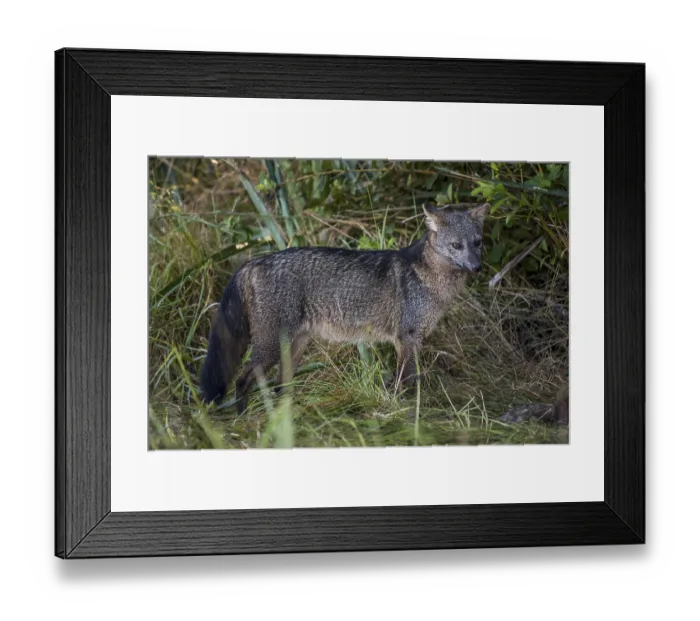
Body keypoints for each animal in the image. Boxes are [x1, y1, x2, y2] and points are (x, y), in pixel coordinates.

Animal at [200, 202, 490, 413]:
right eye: (456, 245)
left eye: (477, 242)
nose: (477, 267)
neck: (429, 277)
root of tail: (253, 262)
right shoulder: (406, 338)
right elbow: (406, 381)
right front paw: (407, 412)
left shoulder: (410, 340)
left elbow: (404, 379)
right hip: (269, 348)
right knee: (243, 381)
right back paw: (245, 418)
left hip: (294, 347)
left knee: (281, 387)